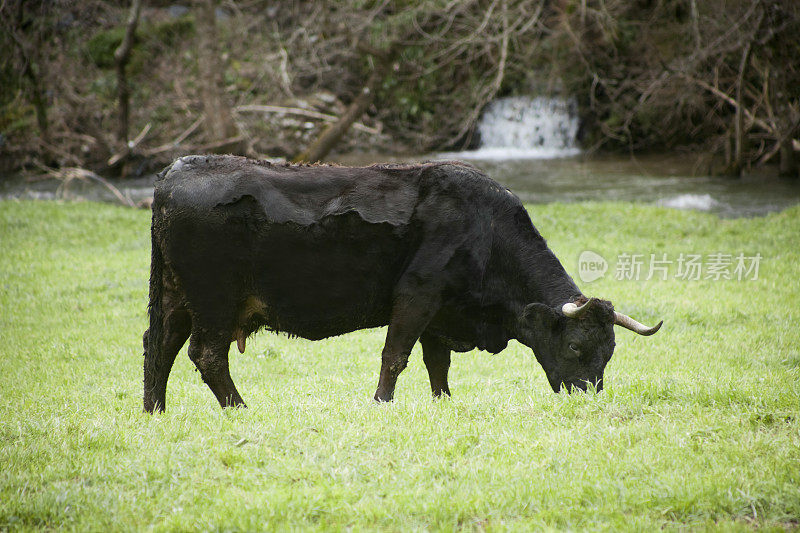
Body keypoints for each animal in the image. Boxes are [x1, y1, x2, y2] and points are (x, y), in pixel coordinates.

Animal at [142, 155, 656, 412]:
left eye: (608, 352)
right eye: (574, 346)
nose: (587, 396)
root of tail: (175, 171)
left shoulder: (441, 310)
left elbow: (437, 363)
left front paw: (443, 403)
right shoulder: (417, 293)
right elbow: (397, 354)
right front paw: (382, 403)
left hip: (176, 296)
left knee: (159, 344)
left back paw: (155, 410)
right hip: (214, 299)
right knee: (205, 354)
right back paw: (239, 408)